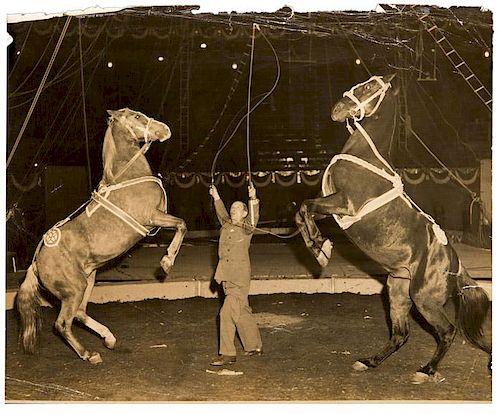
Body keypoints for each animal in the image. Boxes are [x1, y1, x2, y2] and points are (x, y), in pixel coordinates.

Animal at [294, 74, 490, 384]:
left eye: (369, 86)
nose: (337, 109)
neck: (365, 156)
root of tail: (456, 266)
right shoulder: (332, 207)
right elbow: (302, 211)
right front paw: (319, 248)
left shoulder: (344, 203)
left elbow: (304, 208)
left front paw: (319, 249)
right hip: (398, 291)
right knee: (401, 335)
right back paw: (369, 362)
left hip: (423, 298)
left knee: (446, 331)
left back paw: (426, 370)